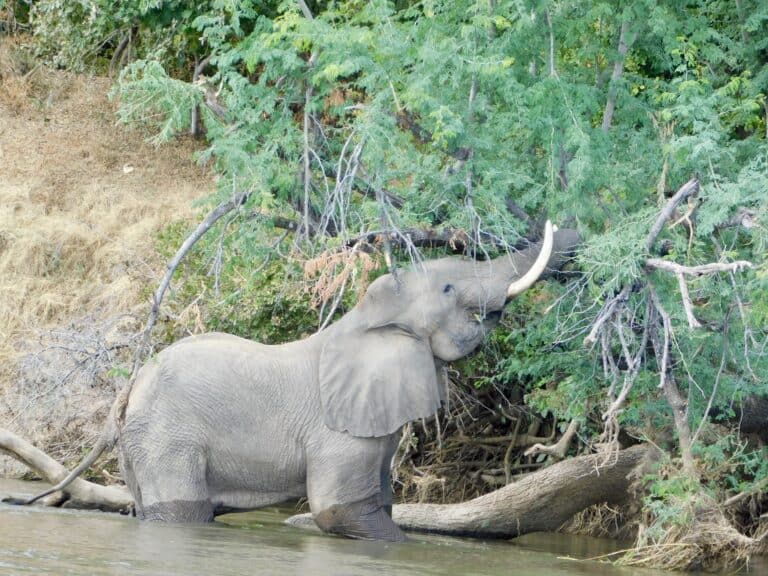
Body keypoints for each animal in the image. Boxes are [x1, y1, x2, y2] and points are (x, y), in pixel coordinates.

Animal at [29, 221, 579, 541]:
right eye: (447, 288)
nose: (567, 228)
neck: (365, 320)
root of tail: (127, 388)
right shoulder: (338, 430)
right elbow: (340, 511)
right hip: (166, 438)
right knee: (183, 513)